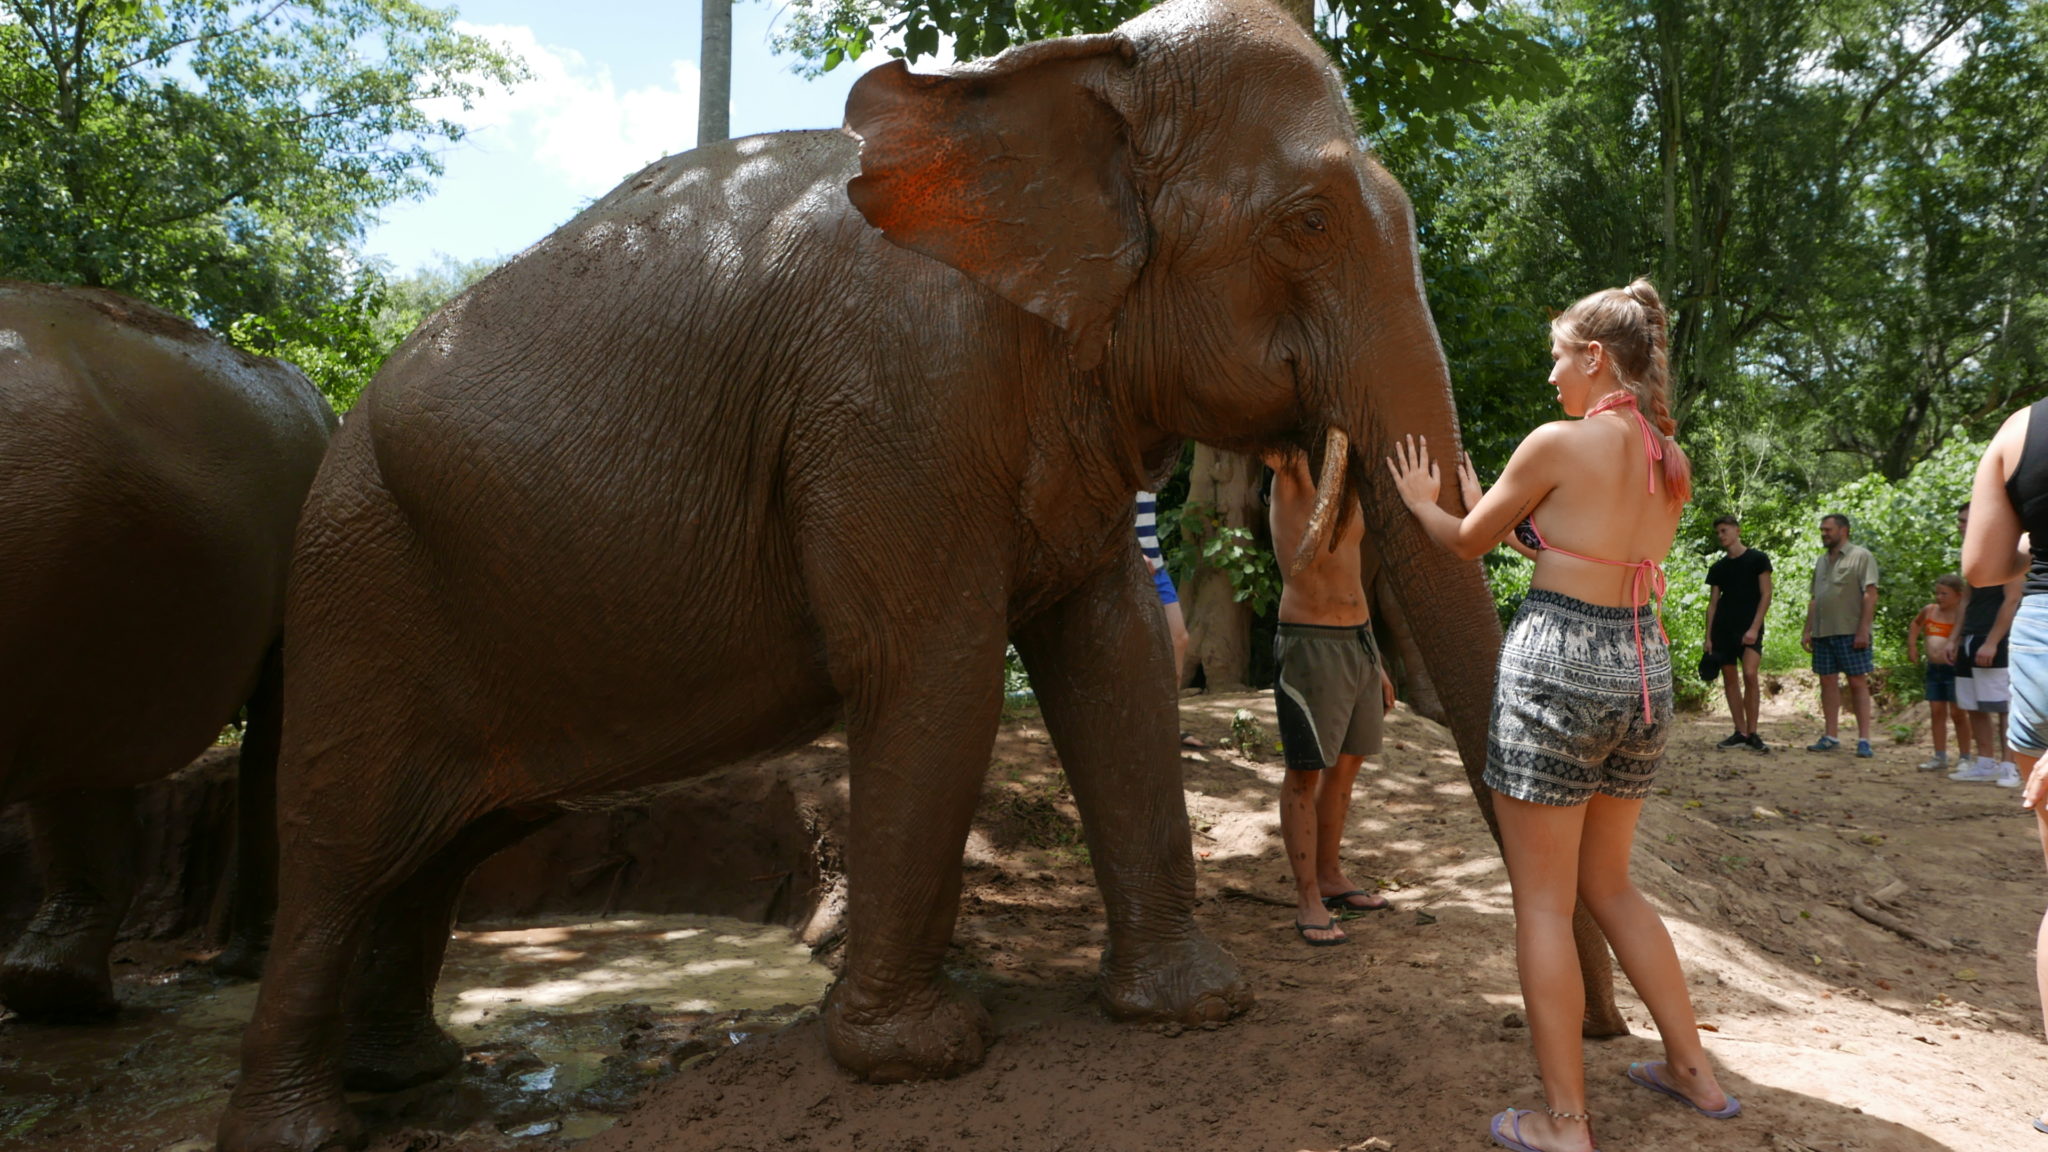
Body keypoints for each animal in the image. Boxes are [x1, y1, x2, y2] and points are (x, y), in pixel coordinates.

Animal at [218, 1, 1507, 1147]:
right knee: (339, 851)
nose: (1562, 1044)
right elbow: (932, 670)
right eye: (1305, 222)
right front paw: (919, 1059)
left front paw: (1193, 1009)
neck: (1052, 78)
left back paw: (409, 1077)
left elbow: (1113, 658)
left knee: (437, 852)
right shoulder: (890, 405)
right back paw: (307, 1130)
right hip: (360, 581)